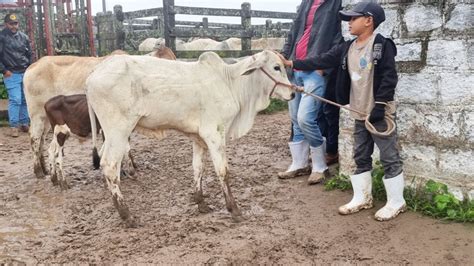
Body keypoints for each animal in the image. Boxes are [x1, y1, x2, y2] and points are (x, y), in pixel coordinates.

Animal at [84, 50, 292, 224]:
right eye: (276, 67)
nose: (292, 92)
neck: (230, 83)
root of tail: (94, 73)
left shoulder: (198, 137)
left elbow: (197, 168)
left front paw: (201, 203)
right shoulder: (215, 133)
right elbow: (223, 171)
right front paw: (234, 210)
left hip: (110, 134)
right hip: (119, 131)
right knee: (110, 165)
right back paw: (126, 215)